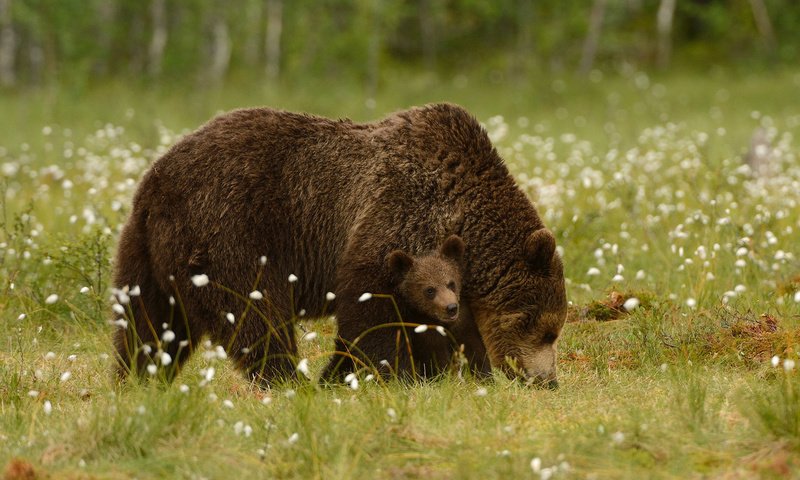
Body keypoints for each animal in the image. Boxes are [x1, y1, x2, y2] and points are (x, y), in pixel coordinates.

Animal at [112, 103, 564, 388]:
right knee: (254, 312)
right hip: (229, 229)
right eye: (546, 330)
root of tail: (156, 178)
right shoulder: (395, 217)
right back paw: (290, 380)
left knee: (147, 322)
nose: (547, 381)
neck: (461, 212)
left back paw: (136, 378)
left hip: (145, 251)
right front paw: (376, 375)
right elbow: (371, 312)